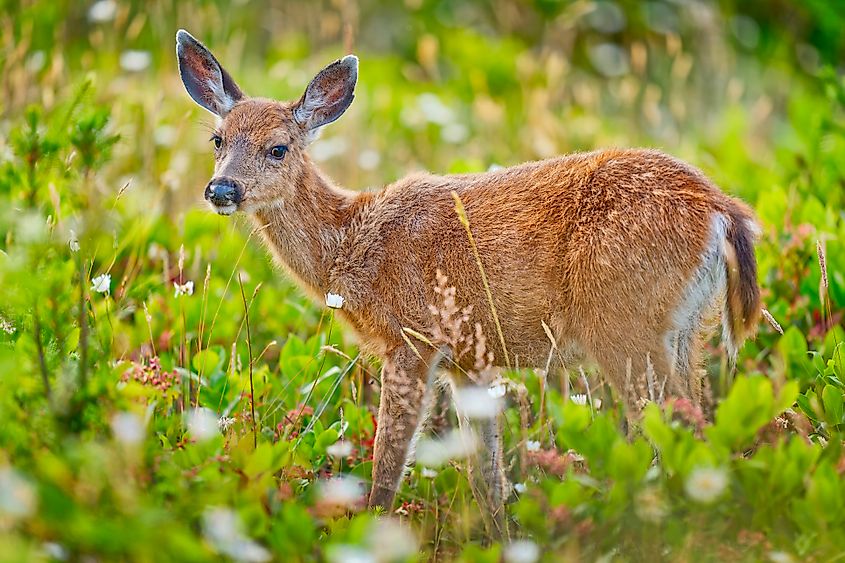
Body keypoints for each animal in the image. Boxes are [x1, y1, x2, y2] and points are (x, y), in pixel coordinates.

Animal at [176, 29, 761, 531]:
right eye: (217, 139)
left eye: (278, 148)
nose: (222, 189)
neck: (353, 243)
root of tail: (721, 209)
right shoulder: (469, 362)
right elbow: (487, 482)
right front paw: (502, 539)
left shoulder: (413, 338)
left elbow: (388, 469)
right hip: (686, 330)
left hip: (624, 324)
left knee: (678, 429)